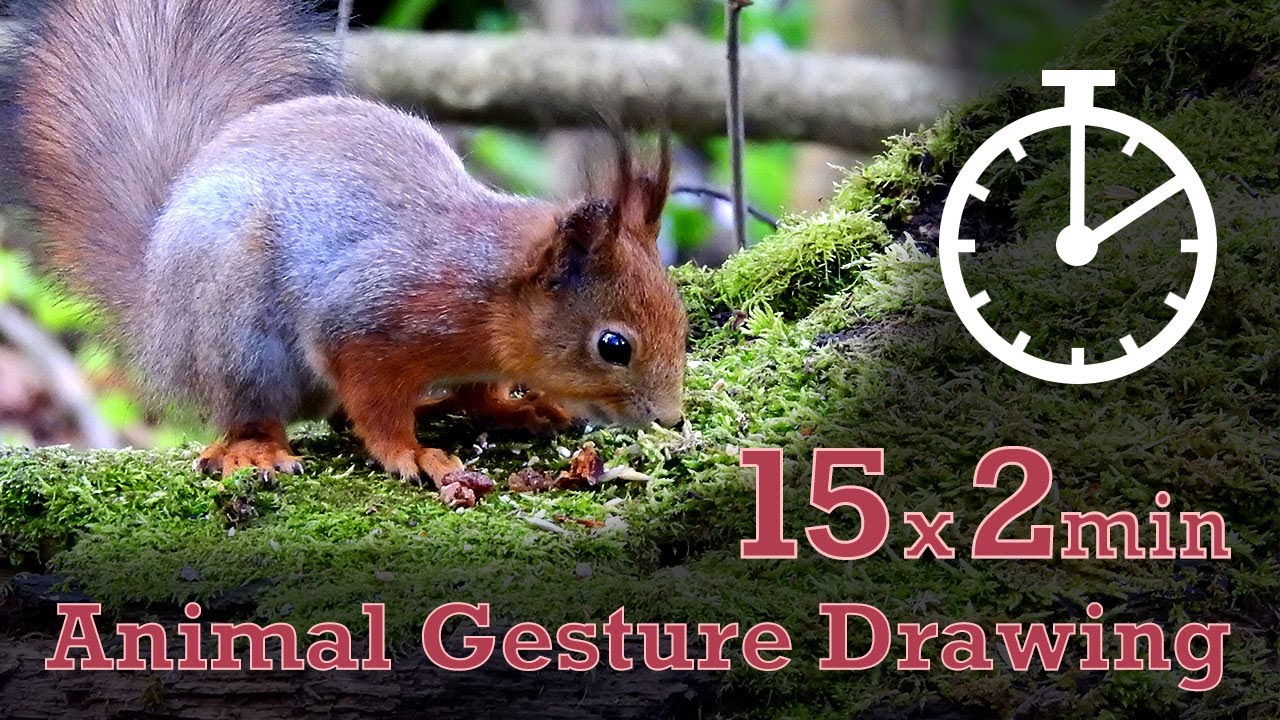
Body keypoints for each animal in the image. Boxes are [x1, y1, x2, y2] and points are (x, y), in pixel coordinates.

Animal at [0, 0, 688, 484]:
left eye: (680, 318)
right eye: (613, 345)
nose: (671, 418)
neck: (486, 291)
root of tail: (155, 314)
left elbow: (478, 390)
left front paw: (509, 408)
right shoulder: (368, 321)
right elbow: (374, 404)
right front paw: (412, 454)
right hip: (235, 336)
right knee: (252, 412)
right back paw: (255, 449)